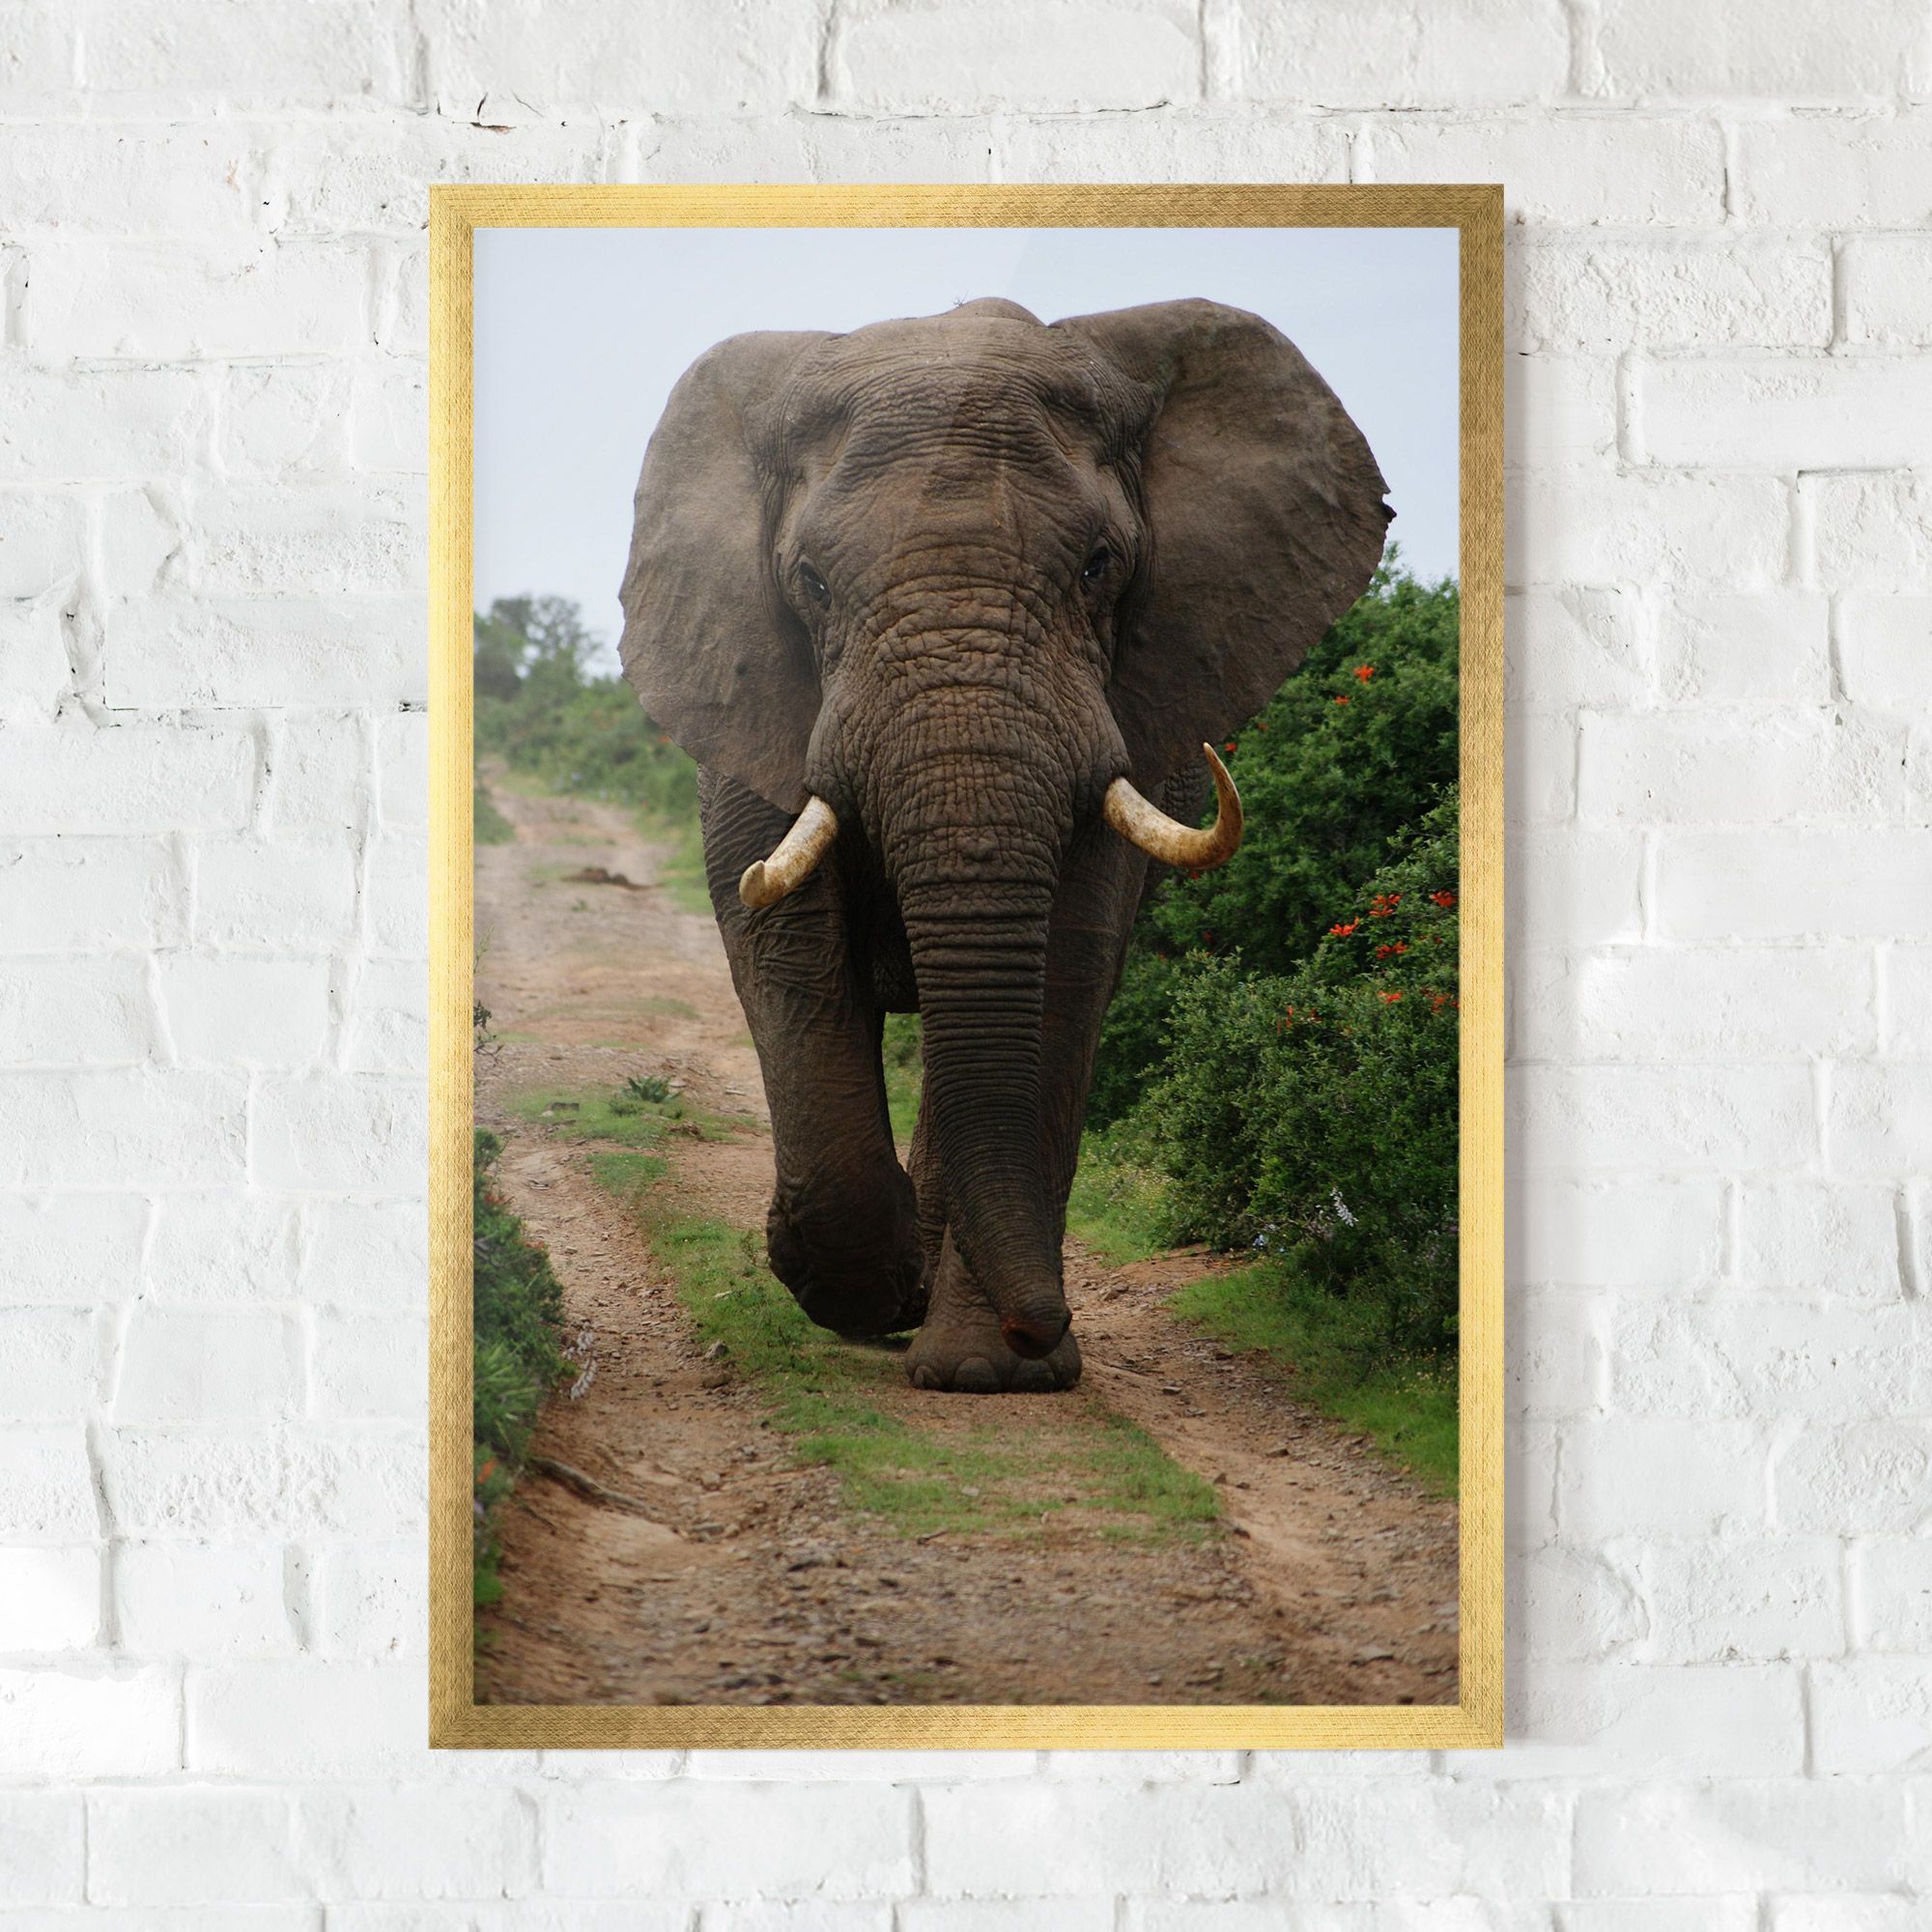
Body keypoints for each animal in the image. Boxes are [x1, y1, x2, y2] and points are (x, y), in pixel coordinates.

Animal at [619, 296, 1389, 1393]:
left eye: (1099, 567)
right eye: (810, 583)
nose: (1043, 1322)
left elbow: (1066, 964)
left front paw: (991, 1371)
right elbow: (784, 947)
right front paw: (859, 1288)